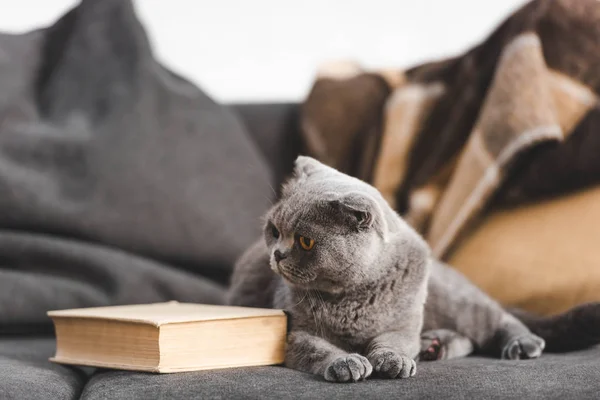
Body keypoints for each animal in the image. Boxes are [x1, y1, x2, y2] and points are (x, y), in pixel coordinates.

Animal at [226, 155, 600, 382]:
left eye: (305, 242)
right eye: (274, 231)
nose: (277, 254)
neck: (351, 298)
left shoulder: (402, 323)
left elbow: (395, 341)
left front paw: (391, 361)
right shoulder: (294, 332)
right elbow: (319, 348)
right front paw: (346, 362)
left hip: (455, 302)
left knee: (499, 319)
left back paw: (519, 344)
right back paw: (434, 346)